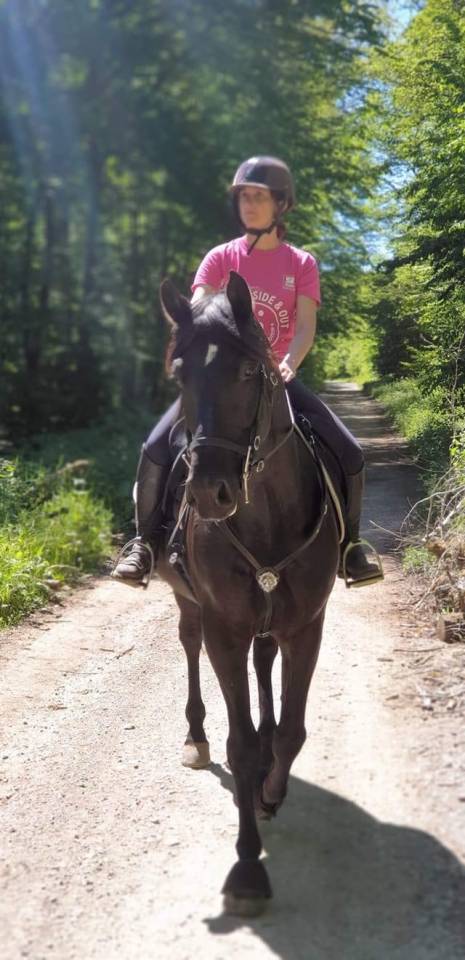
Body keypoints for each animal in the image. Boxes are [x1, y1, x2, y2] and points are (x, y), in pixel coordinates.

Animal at [156, 270, 340, 915]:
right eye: (179, 376)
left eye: (247, 372)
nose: (208, 493)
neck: (263, 513)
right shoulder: (226, 628)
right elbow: (238, 746)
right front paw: (246, 869)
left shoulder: (307, 625)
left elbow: (292, 730)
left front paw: (270, 791)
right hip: (191, 607)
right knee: (189, 647)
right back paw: (194, 737)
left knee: (267, 671)